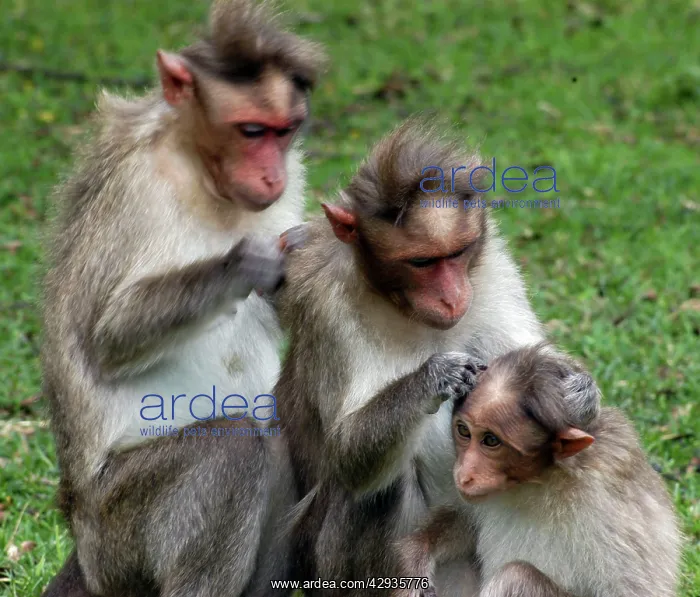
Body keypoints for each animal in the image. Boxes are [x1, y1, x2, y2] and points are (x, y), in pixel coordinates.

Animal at [40, 1, 325, 596]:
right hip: (117, 533)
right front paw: (243, 264)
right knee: (235, 445)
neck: (199, 171)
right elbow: (106, 338)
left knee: (279, 443)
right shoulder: (132, 188)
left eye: (284, 133)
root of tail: (79, 533)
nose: (272, 176)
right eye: (251, 131)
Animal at [274, 119, 602, 596]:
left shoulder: (492, 269)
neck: (403, 308)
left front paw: (578, 389)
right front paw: (436, 376)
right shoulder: (325, 306)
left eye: (458, 253)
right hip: (327, 569)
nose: (452, 297)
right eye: (423, 262)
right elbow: (347, 455)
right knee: (382, 488)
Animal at [392, 342, 682, 597]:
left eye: (491, 440)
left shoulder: (607, 491)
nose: (463, 474)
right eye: (464, 431)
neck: (543, 479)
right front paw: (415, 555)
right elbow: (462, 520)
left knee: (517, 577)